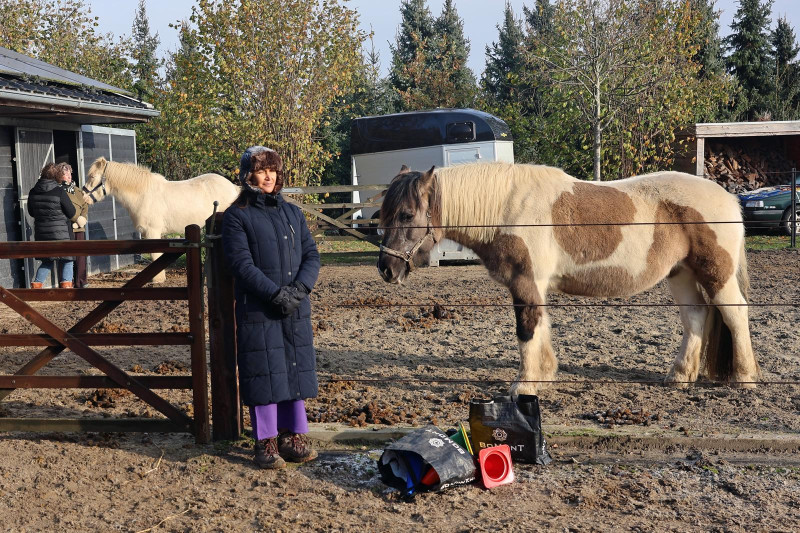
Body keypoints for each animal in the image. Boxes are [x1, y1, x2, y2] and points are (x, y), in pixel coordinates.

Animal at [82, 157, 240, 283]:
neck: (143, 194)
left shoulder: (153, 232)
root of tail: (233, 187)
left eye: (92, 176)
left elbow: (155, 255)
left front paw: (157, 279)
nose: (83, 197)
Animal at [377, 162, 761, 396]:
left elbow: (527, 330)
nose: (386, 269)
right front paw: (544, 376)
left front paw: (524, 386)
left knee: (735, 313)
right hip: (681, 274)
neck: (508, 209)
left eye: (407, 214)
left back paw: (744, 378)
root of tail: (729, 199)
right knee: (695, 317)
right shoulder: (535, 285)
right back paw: (679, 376)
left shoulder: (526, 282)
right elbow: (541, 327)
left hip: (717, 274)